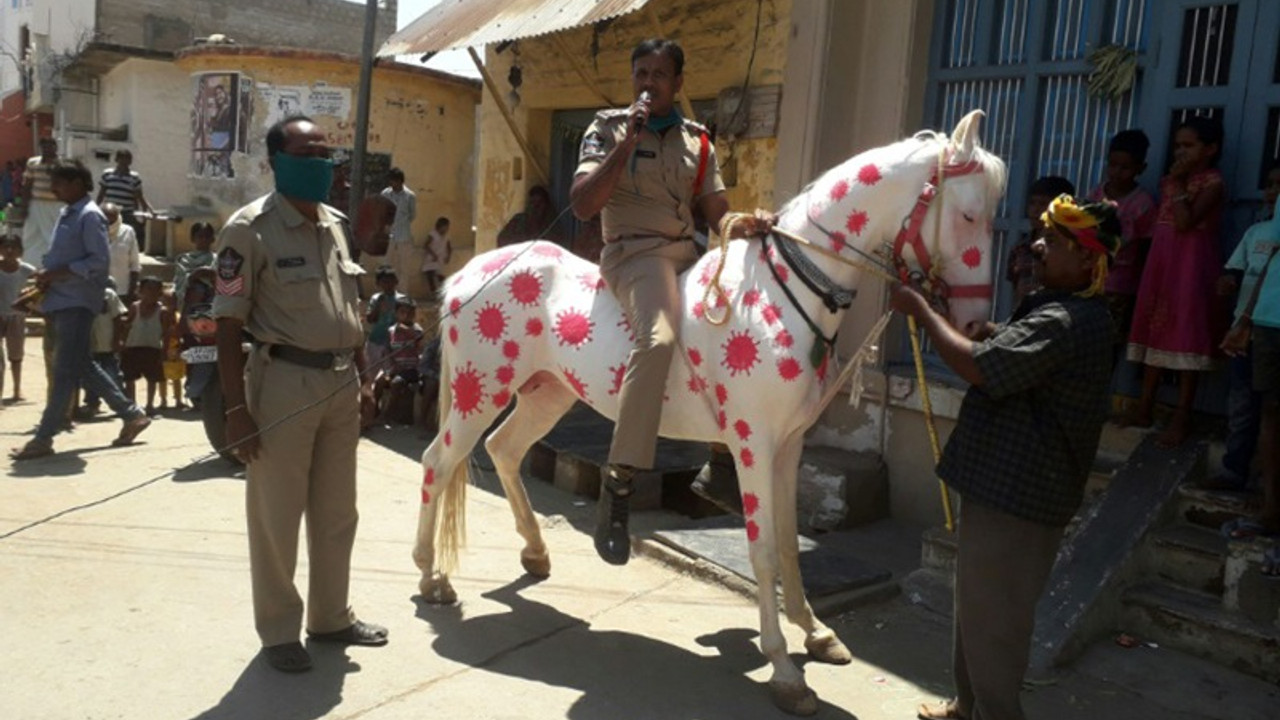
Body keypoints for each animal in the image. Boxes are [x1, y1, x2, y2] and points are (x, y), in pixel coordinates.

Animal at [419, 110, 1008, 712]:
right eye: (969, 214)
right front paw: (784, 670)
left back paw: (534, 552)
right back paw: (432, 578)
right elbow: (764, 550)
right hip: (479, 390)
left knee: (503, 450)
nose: (975, 323)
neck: (781, 295)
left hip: (548, 393)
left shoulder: (789, 446)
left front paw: (816, 633)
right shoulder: (754, 443)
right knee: (438, 462)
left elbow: (793, 545)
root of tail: (468, 274)